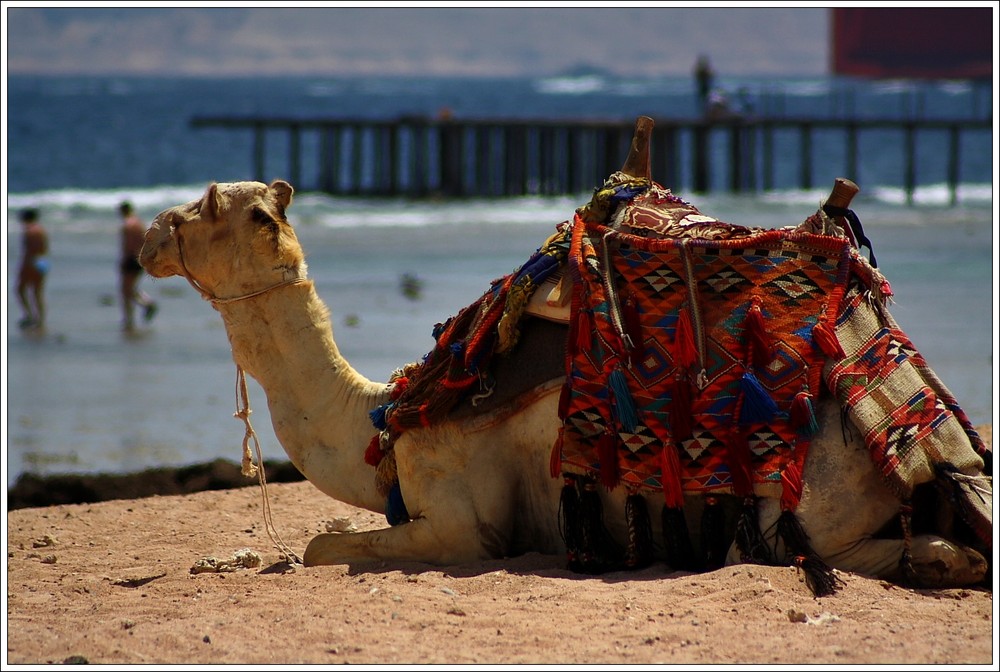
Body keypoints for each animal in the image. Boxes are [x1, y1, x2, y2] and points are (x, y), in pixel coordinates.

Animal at [141, 118, 992, 596]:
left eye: (208, 205)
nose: (150, 234)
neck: (383, 418)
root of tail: (927, 443)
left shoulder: (462, 525)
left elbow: (324, 546)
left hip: (803, 506)